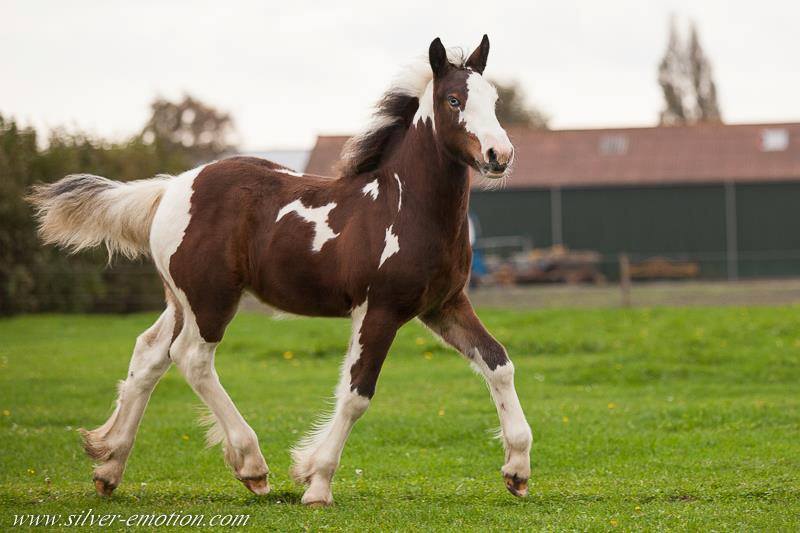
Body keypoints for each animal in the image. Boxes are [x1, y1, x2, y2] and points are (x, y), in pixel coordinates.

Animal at [29, 35, 532, 504]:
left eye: (494, 101)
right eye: (453, 100)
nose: (499, 154)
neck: (404, 206)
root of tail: (170, 188)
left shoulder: (443, 306)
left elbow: (499, 363)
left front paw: (518, 470)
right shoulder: (380, 310)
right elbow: (356, 394)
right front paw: (317, 483)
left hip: (181, 301)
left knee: (149, 353)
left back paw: (108, 466)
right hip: (212, 300)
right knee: (191, 358)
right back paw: (251, 466)